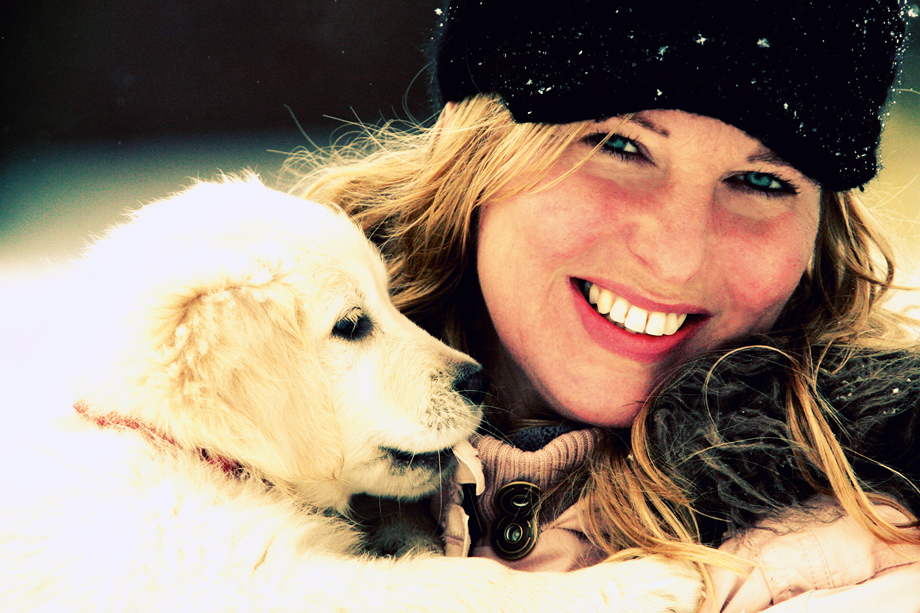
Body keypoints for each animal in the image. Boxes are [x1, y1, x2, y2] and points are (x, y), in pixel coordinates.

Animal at [0, 176, 701, 612]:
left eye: (387, 299)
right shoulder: (247, 585)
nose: (475, 380)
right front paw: (642, 583)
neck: (172, 443)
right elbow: (461, 583)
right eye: (352, 325)